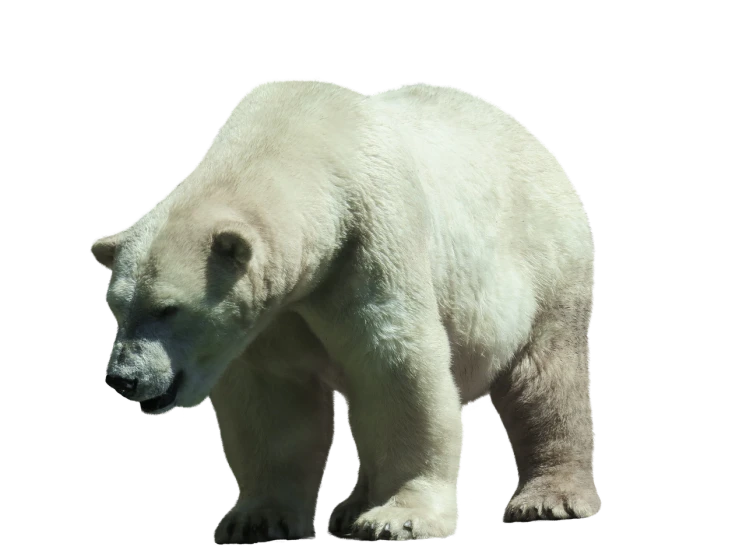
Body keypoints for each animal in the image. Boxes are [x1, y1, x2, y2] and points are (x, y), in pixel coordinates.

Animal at [93, 78, 600, 544]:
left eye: (167, 308)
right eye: (117, 307)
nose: (123, 377)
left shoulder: (368, 243)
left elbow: (397, 367)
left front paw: (398, 518)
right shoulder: (274, 311)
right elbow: (273, 399)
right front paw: (258, 520)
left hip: (545, 262)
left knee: (544, 379)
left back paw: (549, 499)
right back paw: (352, 506)